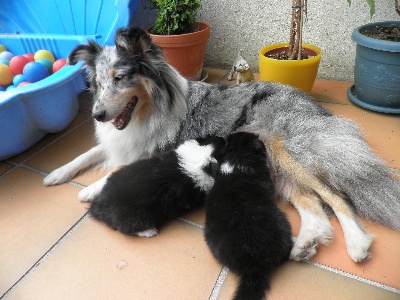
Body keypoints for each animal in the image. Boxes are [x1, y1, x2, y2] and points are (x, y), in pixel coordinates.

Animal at [89, 136, 225, 237]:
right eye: (224, 147)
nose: (223, 138)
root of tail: (98, 206)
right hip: (137, 217)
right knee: (124, 229)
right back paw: (150, 231)